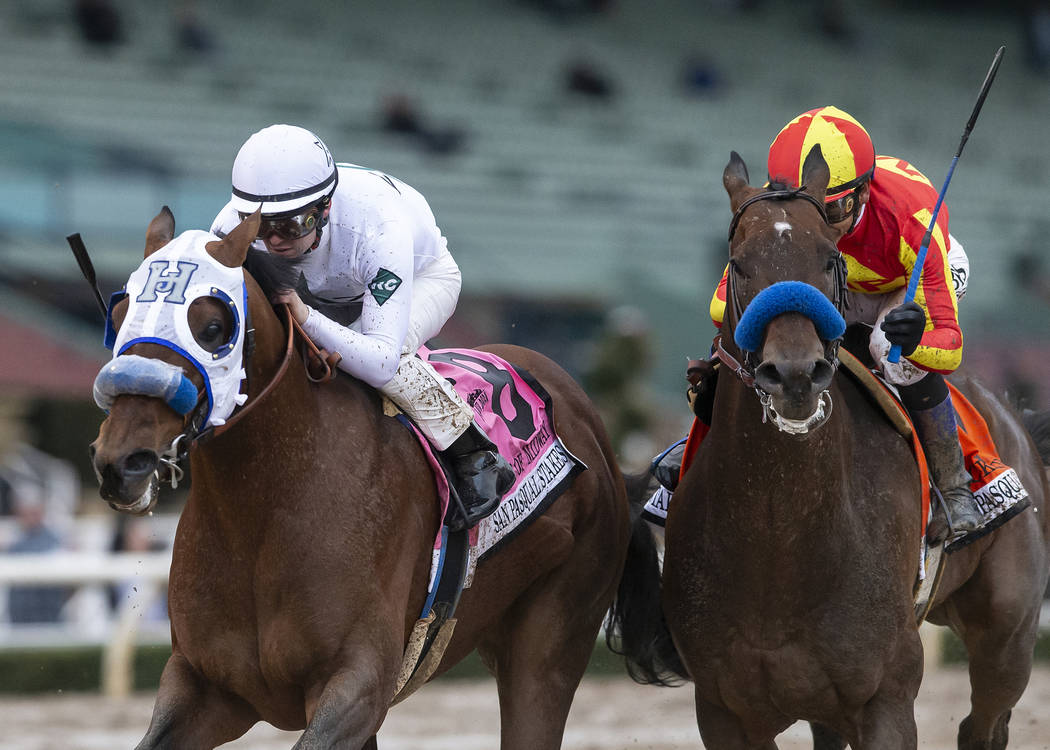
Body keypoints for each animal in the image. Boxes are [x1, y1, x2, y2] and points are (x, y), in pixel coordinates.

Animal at [88, 205, 630, 747]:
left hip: (549, 643)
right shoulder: (207, 686)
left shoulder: (358, 685)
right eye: (118, 316)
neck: (265, 511)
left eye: (214, 327)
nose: (123, 462)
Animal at [609, 147, 1050, 747]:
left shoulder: (886, 697)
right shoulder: (724, 709)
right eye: (738, 264)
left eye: (826, 259)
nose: (795, 375)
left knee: (983, 722)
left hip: (1008, 632)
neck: (780, 537)